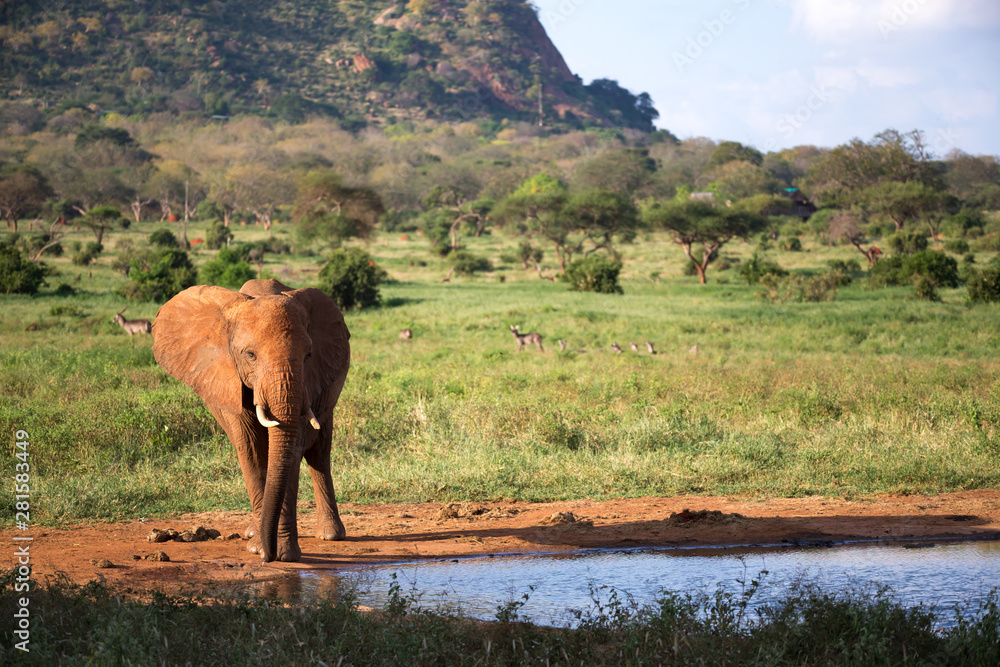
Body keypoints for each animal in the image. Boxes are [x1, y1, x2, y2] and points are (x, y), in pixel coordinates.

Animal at [152, 279, 350, 563]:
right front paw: (259, 549)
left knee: (319, 454)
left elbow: (291, 451)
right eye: (250, 355)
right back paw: (251, 533)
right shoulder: (228, 380)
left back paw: (331, 536)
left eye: (308, 356)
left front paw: (283, 554)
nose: (269, 556)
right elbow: (251, 450)